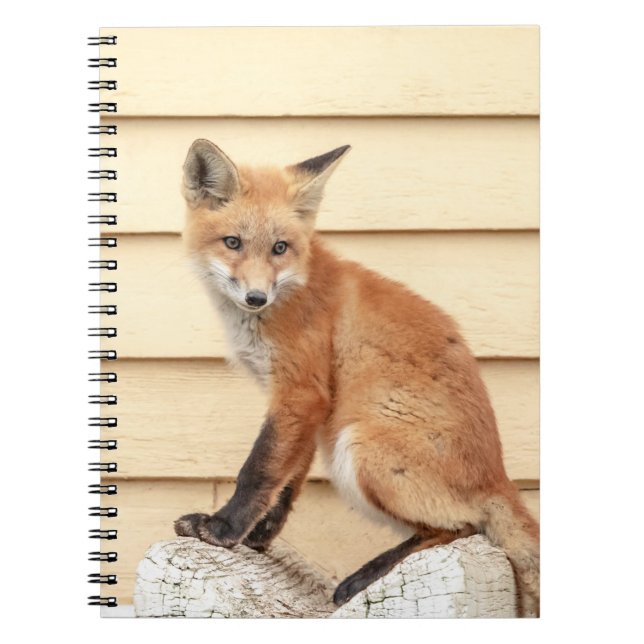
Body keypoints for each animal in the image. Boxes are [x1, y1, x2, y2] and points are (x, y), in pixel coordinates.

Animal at [173, 139, 540, 616]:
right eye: (232, 242)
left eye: (279, 247)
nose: (257, 297)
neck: (292, 289)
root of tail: (499, 477)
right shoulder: (309, 406)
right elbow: (287, 481)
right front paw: (259, 537)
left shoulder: (301, 392)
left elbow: (258, 470)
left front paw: (222, 530)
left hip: (359, 449)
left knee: (464, 526)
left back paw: (367, 573)